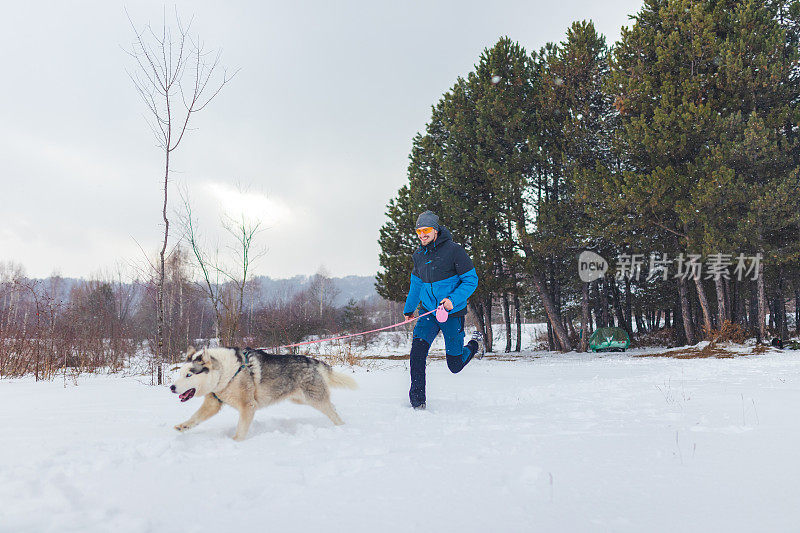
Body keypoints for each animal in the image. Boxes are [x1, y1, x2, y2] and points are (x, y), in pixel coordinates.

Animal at [170, 348, 358, 438]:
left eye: (189, 375)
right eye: (180, 373)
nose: (171, 387)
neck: (225, 373)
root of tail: (310, 360)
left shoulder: (248, 406)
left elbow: (241, 431)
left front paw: (235, 442)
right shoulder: (213, 403)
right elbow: (196, 417)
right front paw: (184, 425)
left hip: (314, 399)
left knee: (332, 411)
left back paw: (342, 427)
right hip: (301, 399)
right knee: (332, 406)